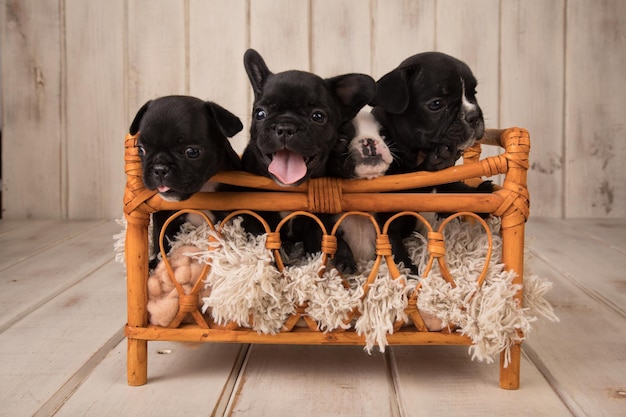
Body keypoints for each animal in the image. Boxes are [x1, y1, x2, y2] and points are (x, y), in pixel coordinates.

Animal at [129, 95, 241, 266]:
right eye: (141, 149)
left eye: (192, 152)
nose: (159, 168)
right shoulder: (162, 216)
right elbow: (160, 240)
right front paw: (156, 263)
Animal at [239, 48, 376, 266]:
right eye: (260, 113)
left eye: (318, 117)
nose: (285, 127)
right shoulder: (256, 216)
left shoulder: (318, 218)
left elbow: (321, 235)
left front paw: (339, 256)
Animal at [368, 51, 490, 272]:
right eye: (436, 104)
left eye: (473, 93)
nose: (474, 115)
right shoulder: (388, 215)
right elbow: (394, 250)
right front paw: (409, 273)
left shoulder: (446, 183)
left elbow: (458, 190)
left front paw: (481, 194)